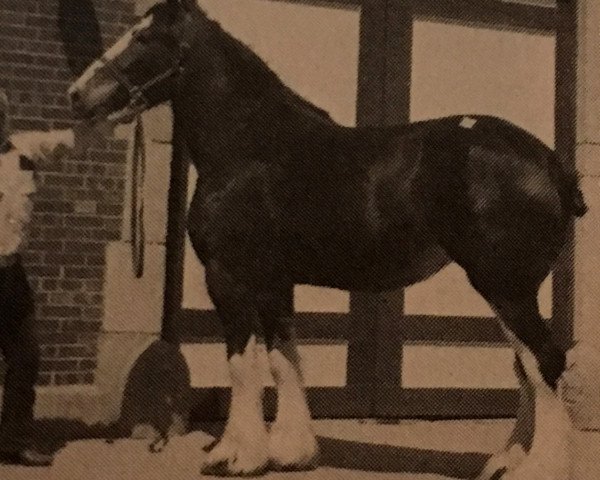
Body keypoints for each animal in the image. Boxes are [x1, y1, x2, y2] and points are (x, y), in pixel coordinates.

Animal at [67, 1, 584, 478]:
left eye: (143, 37)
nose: (76, 95)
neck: (250, 143)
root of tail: (549, 162)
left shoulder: (229, 277)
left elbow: (242, 363)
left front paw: (234, 455)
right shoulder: (274, 283)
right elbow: (283, 359)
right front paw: (290, 452)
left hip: (505, 286)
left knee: (544, 362)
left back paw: (539, 467)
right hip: (506, 290)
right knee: (526, 368)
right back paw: (506, 461)